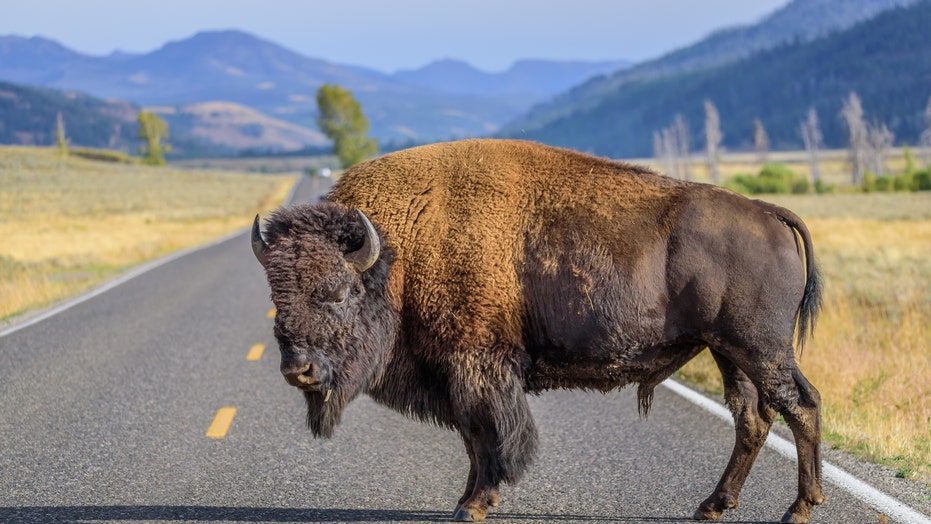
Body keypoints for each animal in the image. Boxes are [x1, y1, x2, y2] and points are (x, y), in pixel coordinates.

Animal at [251, 139, 828, 524]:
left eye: (339, 292)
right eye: (277, 297)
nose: (299, 370)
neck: (401, 247)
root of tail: (768, 212)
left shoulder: (477, 366)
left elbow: (489, 435)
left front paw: (473, 505)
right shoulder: (460, 374)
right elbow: (474, 439)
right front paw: (468, 501)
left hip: (760, 349)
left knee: (800, 405)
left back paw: (799, 508)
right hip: (729, 352)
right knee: (753, 418)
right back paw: (712, 506)